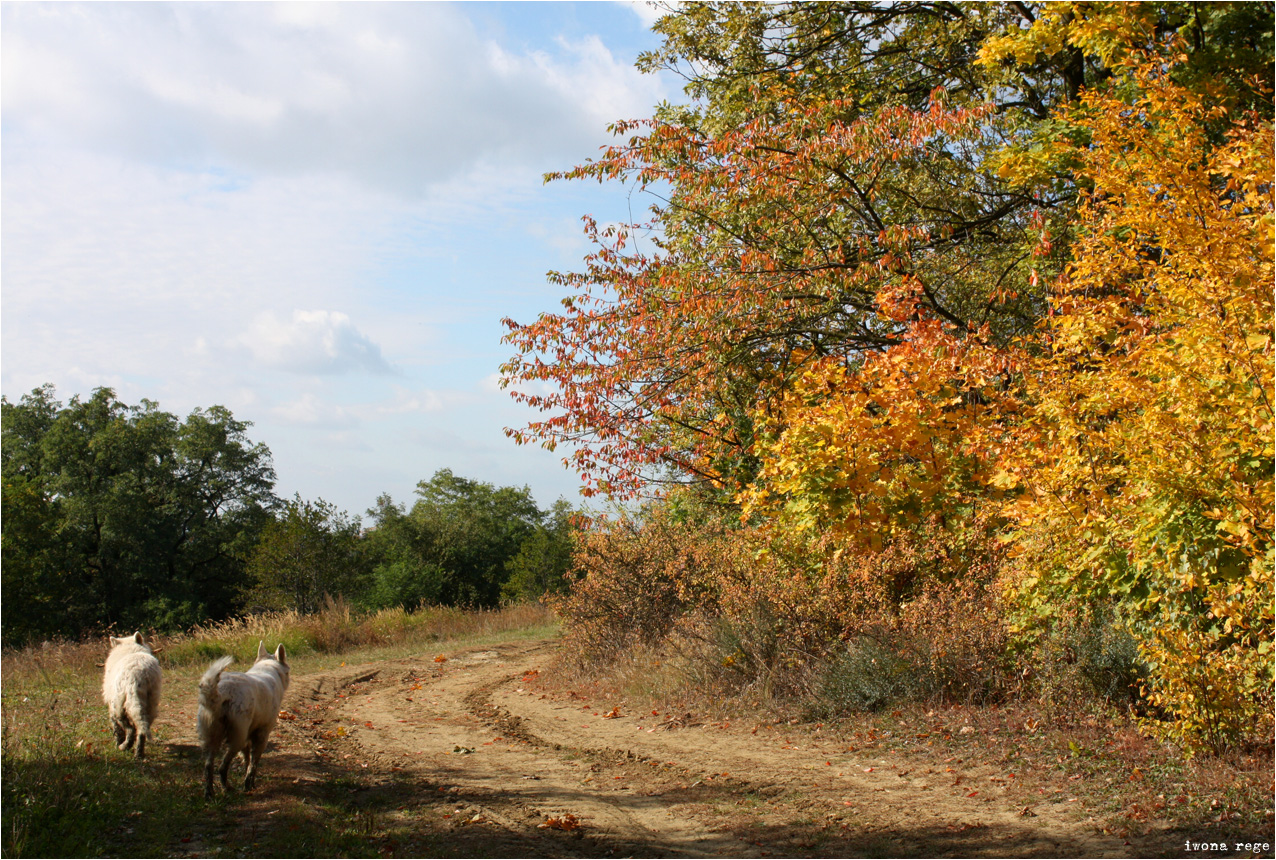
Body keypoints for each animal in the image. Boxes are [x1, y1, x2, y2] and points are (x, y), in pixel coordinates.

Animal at [195, 635, 290, 796]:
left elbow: (247, 761)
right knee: (222, 767)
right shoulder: (262, 736)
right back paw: (227, 788)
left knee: (208, 767)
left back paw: (209, 793)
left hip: (211, 739)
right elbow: (253, 765)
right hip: (236, 739)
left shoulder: (248, 739)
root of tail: (222, 692)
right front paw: (249, 786)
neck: (268, 668)